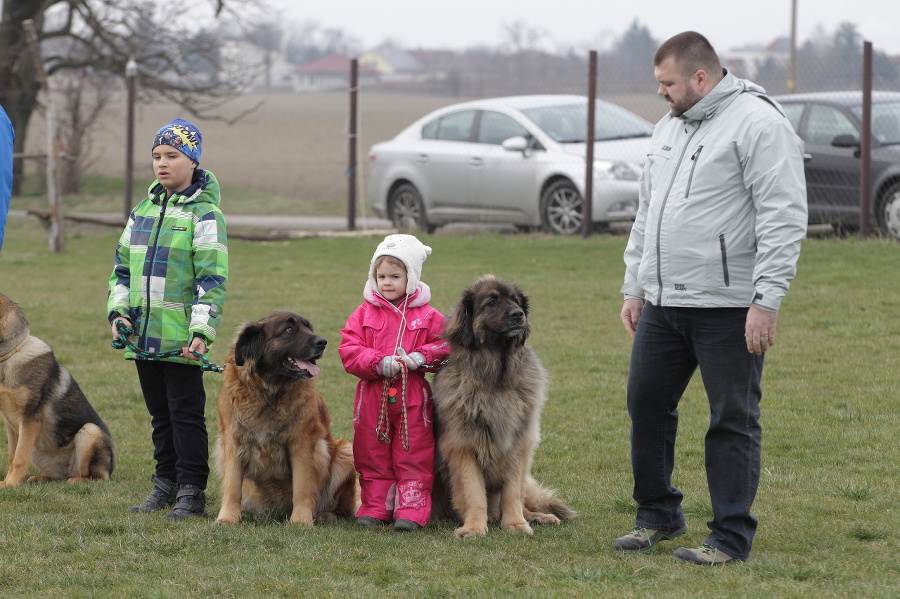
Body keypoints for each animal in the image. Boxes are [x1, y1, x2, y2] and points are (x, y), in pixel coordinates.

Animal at [0, 296, 116, 488]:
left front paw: (12, 484)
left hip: (90, 431)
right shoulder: (11, 424)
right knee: (57, 477)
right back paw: (40, 478)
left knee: (95, 477)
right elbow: (12, 455)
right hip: (37, 449)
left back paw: (76, 480)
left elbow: (19, 458)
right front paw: (7, 482)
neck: (10, 355)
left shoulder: (29, 419)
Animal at [214, 312, 358, 528]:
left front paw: (300, 520)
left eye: (309, 328)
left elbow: (302, 486)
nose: (322, 342)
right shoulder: (233, 442)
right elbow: (232, 486)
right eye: (289, 329)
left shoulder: (303, 444)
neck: (269, 390)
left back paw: (325, 514)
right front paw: (227, 518)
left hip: (345, 453)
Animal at [430, 276, 572, 540]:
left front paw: (515, 524)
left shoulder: (518, 445)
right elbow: (474, 493)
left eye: (515, 300)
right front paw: (474, 527)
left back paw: (540, 516)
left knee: (525, 502)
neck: (496, 377)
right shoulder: (463, 448)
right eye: (491, 302)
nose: (518, 315)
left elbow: (512, 493)